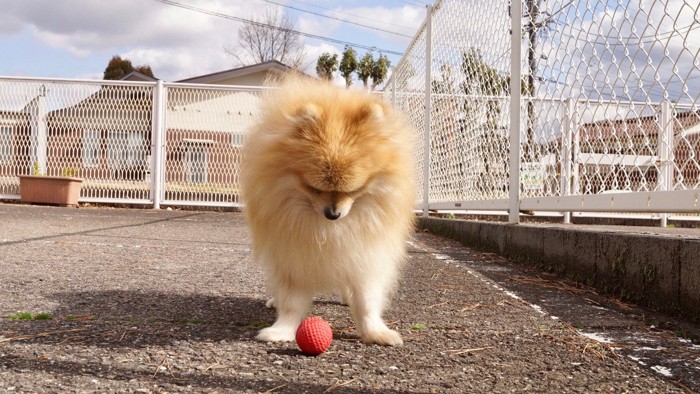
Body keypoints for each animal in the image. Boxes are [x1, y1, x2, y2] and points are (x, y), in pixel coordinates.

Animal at [241, 76, 416, 344]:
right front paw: (282, 330)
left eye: (355, 189)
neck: (328, 229)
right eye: (314, 188)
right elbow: (291, 301)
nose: (333, 214)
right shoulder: (292, 258)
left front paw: (375, 332)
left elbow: (366, 300)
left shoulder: (366, 256)